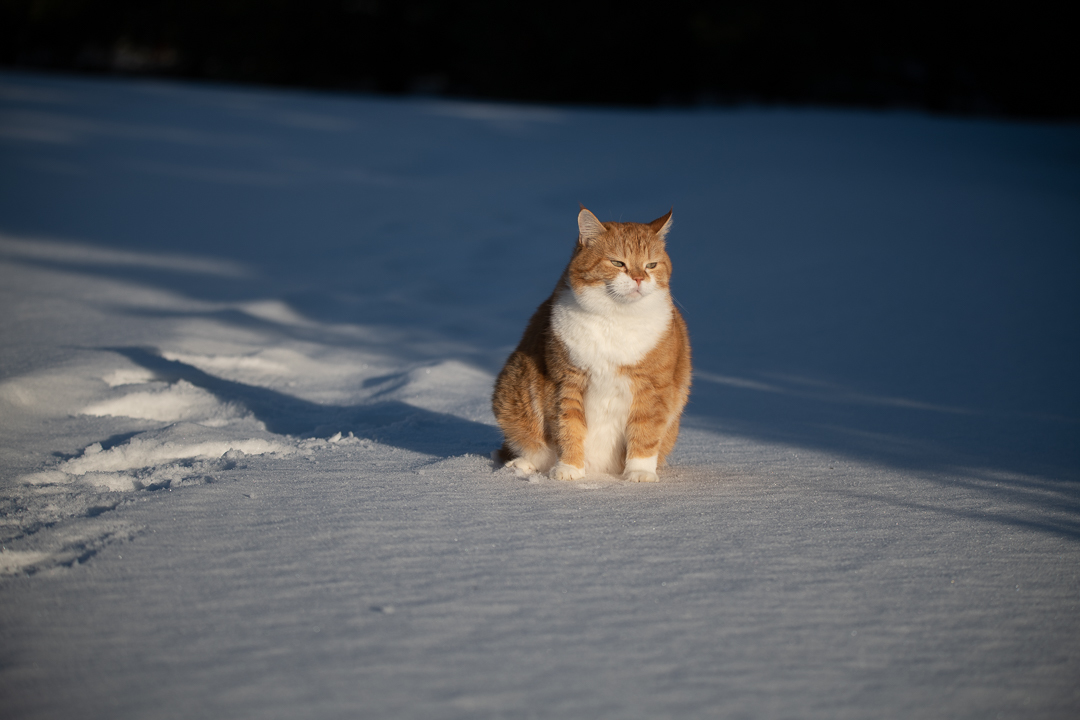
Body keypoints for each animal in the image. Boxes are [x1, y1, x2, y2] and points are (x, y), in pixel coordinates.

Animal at [492, 205, 691, 481]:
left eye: (651, 265)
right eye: (617, 263)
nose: (639, 278)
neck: (615, 318)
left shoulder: (653, 387)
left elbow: (646, 431)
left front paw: (639, 472)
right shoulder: (565, 382)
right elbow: (568, 427)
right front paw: (570, 469)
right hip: (511, 391)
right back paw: (523, 465)